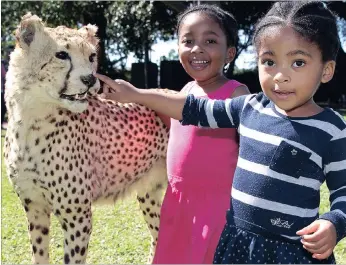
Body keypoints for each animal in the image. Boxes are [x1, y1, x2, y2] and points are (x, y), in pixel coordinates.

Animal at [3, 12, 170, 264]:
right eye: (61, 55)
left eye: (92, 56)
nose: (90, 80)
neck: (31, 121)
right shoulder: (34, 207)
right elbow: (39, 255)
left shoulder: (77, 215)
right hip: (149, 193)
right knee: (159, 234)